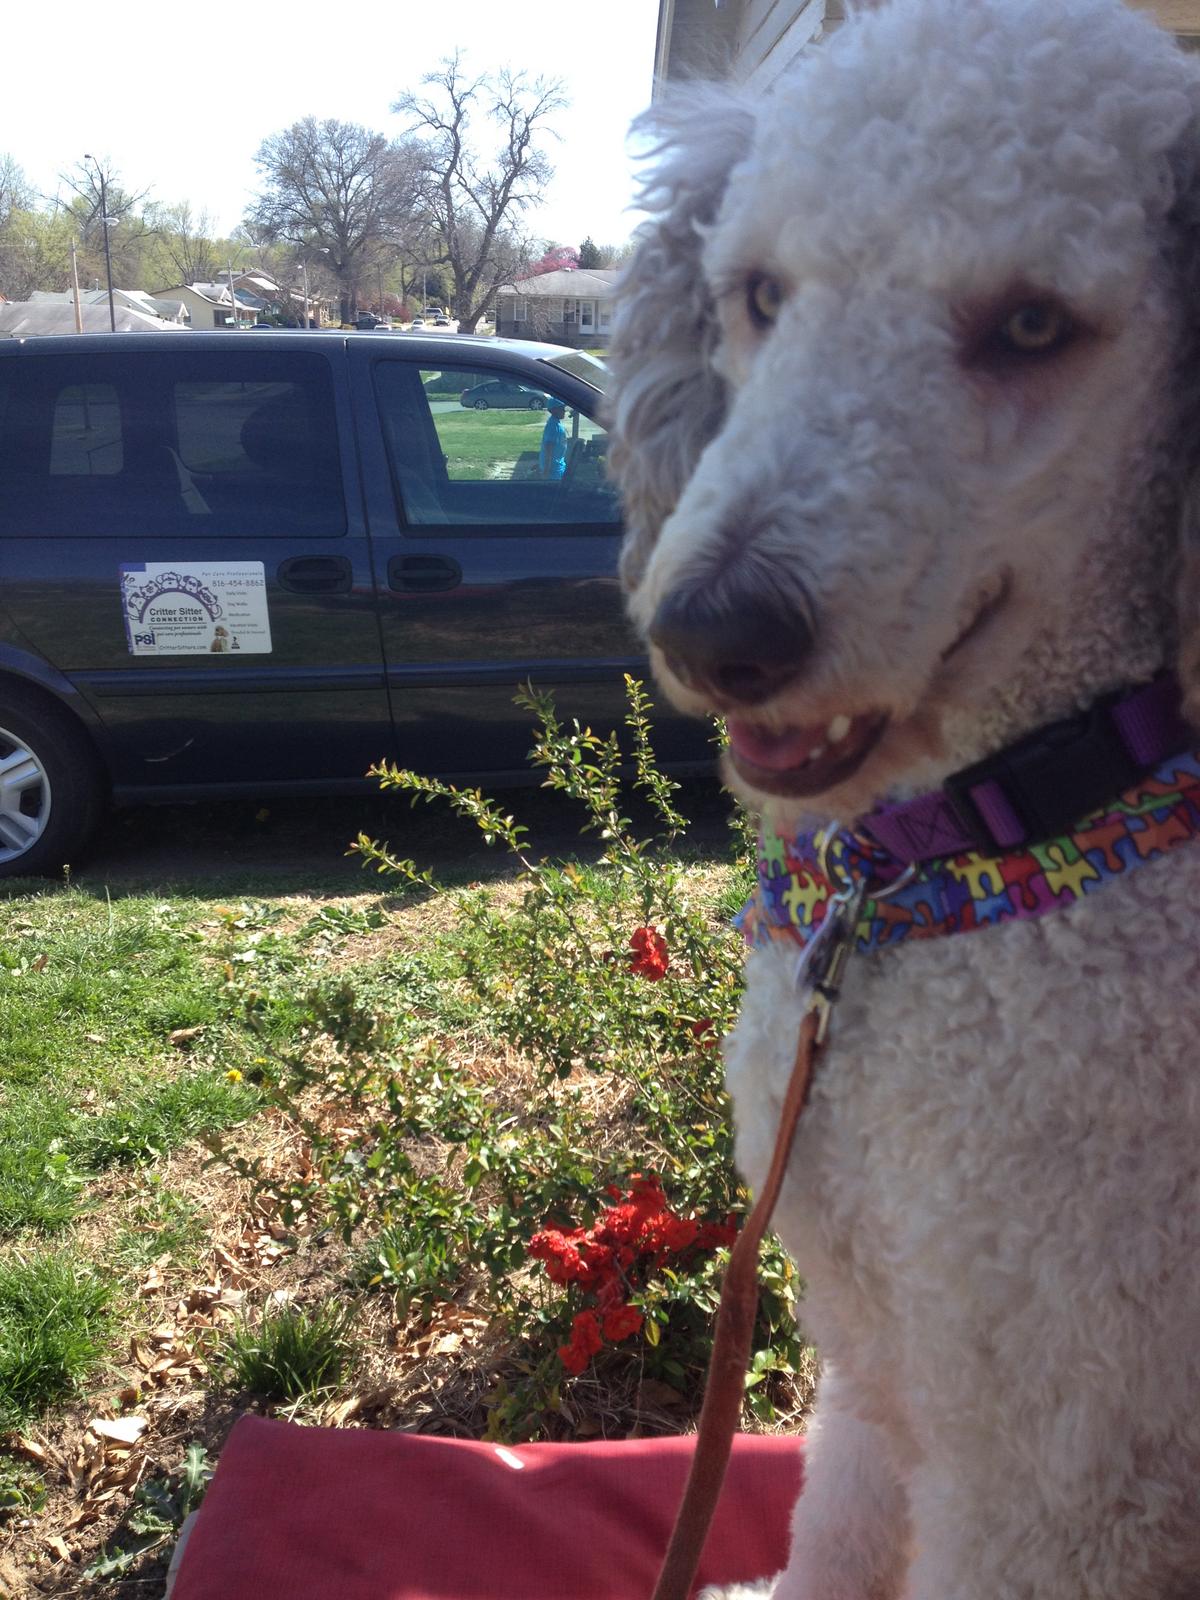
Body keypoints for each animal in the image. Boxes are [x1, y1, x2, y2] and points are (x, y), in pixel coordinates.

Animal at [614, 3, 1200, 1600]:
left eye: (1034, 325)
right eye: (758, 293)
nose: (714, 630)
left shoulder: (1058, 1479)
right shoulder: (872, 1346)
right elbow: (839, 1513)